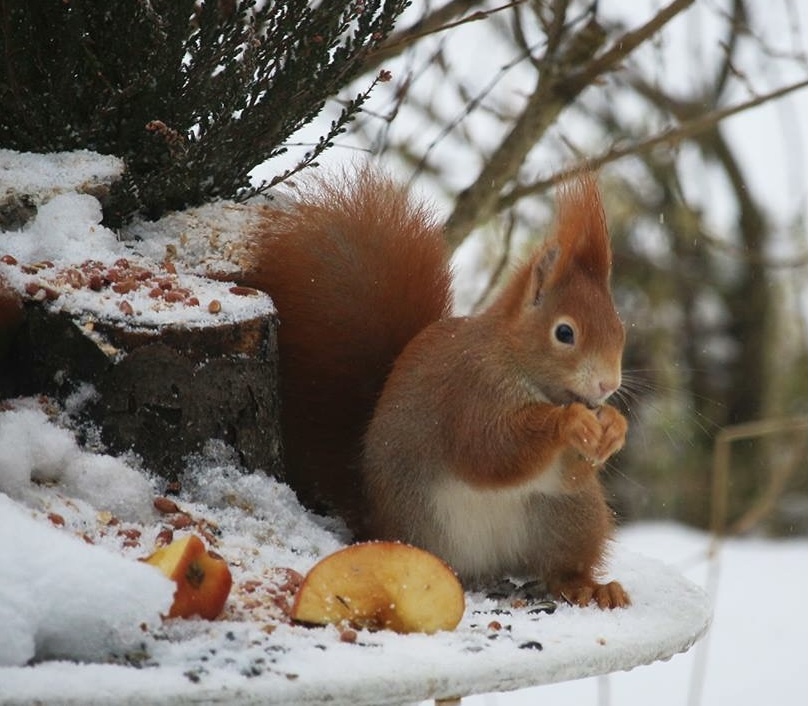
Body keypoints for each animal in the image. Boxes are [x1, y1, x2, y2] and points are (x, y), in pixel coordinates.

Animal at [243, 168, 628, 608]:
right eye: (564, 333)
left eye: (620, 330)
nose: (608, 384)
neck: (521, 368)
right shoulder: (471, 391)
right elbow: (490, 451)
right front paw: (570, 422)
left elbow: (572, 473)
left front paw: (614, 427)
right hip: (423, 525)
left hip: (571, 517)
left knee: (560, 567)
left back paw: (590, 587)